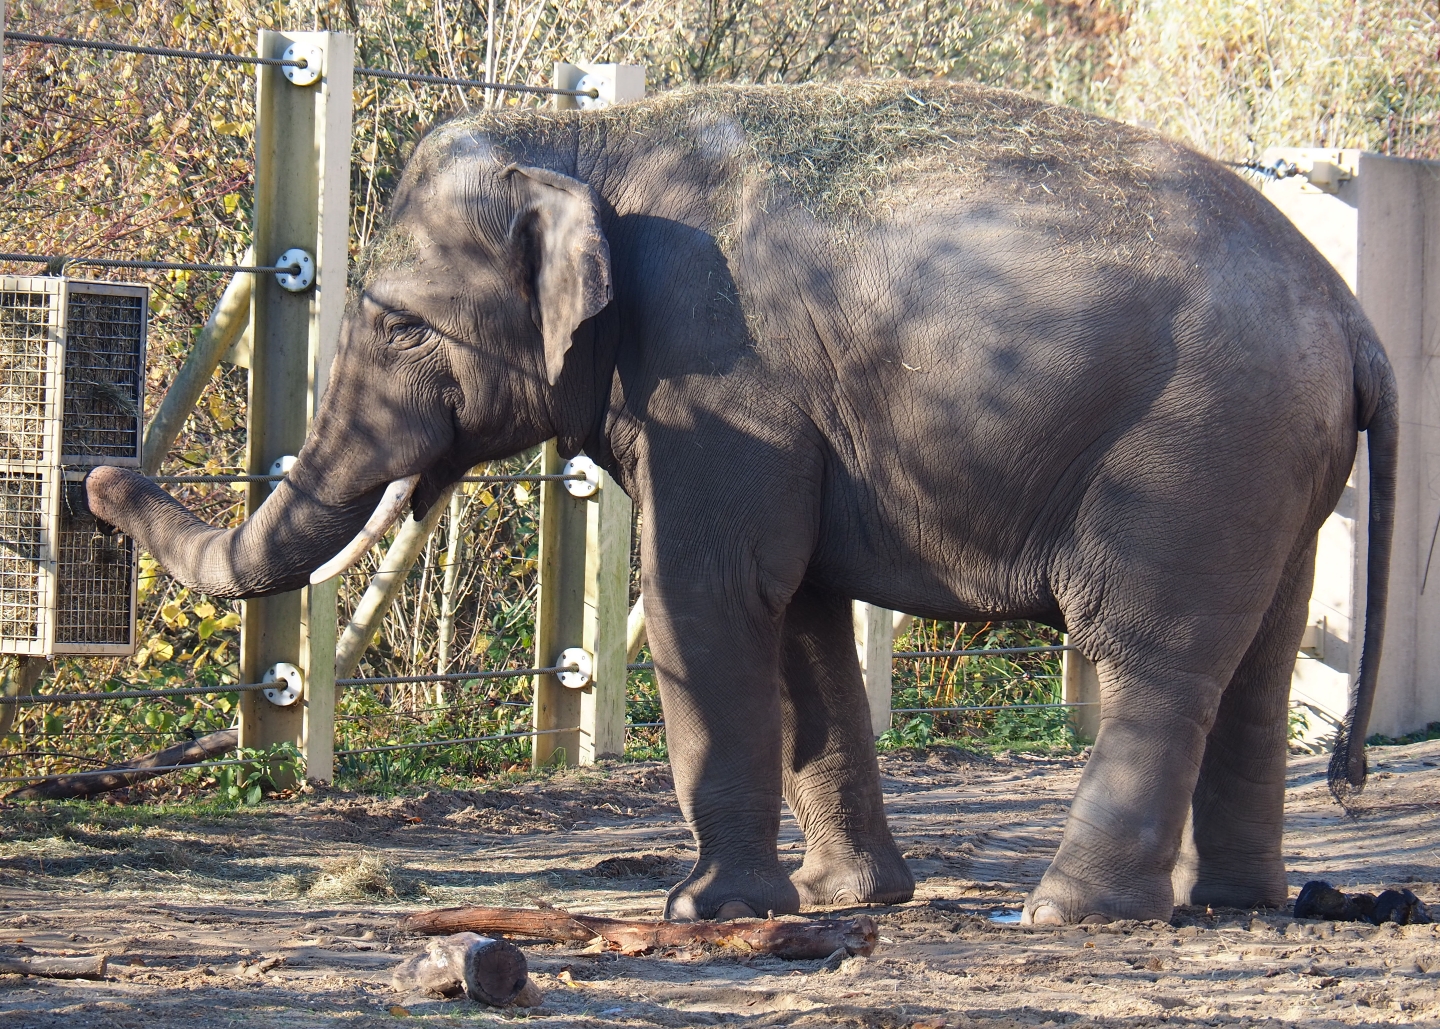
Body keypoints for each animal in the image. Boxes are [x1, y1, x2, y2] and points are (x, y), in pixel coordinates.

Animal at [86, 82, 1396, 926]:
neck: (588, 140)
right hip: (1270, 465)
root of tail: (1354, 320)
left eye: (403, 325)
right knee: (1261, 662)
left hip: (1194, 450)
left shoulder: (719, 376)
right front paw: (838, 900)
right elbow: (801, 612)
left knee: (1154, 658)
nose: (102, 477)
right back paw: (1232, 905)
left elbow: (707, 591)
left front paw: (703, 908)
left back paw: (1067, 916)